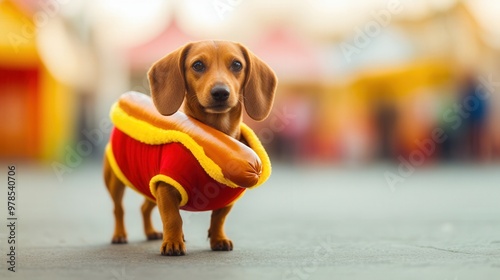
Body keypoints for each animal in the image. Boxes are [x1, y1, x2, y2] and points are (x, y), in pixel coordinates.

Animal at [103, 41, 278, 256]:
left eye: (237, 65)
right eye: (198, 65)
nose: (220, 92)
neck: (214, 135)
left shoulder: (225, 200)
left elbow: (218, 218)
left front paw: (218, 239)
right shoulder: (166, 186)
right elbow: (173, 218)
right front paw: (173, 243)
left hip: (148, 184)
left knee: (145, 208)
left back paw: (151, 232)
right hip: (115, 182)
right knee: (118, 209)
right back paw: (119, 235)